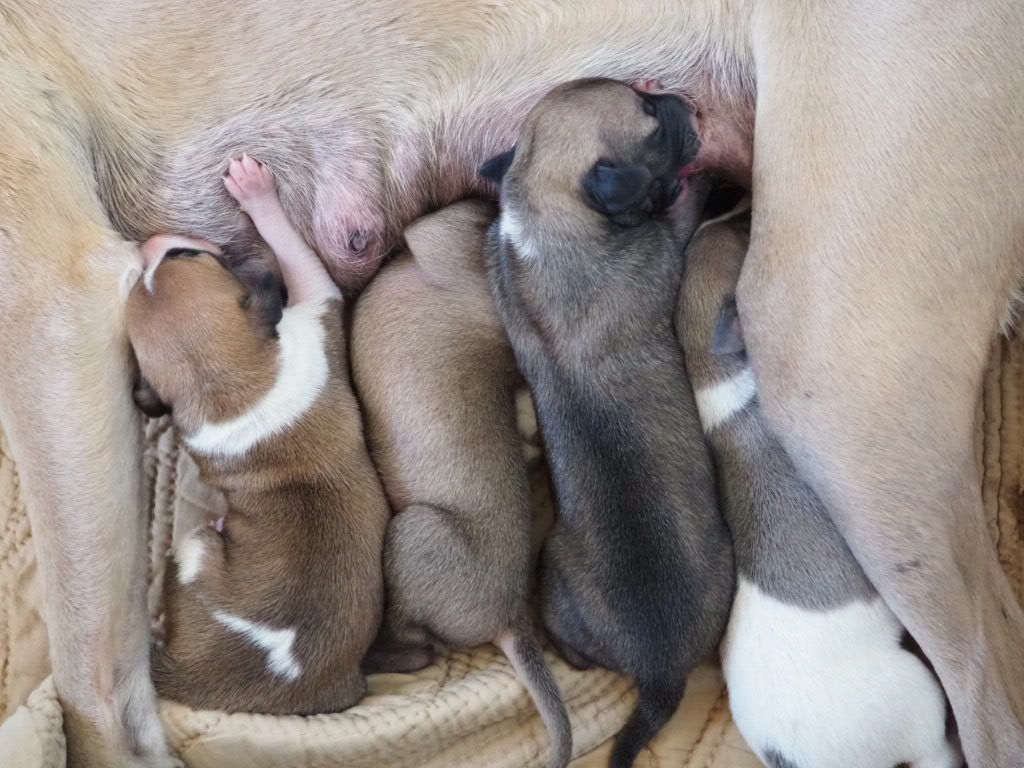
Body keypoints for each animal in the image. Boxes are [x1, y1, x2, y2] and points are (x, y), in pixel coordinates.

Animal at [123, 156, 387, 716]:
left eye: (182, 255)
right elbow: (294, 250)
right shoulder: (316, 302)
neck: (223, 384)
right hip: (198, 546)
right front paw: (256, 191)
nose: (146, 246)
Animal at [481, 79, 733, 768]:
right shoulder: (666, 244)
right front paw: (700, 182)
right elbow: (679, 216)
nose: (683, 99)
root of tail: (659, 673)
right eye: (650, 117)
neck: (542, 208)